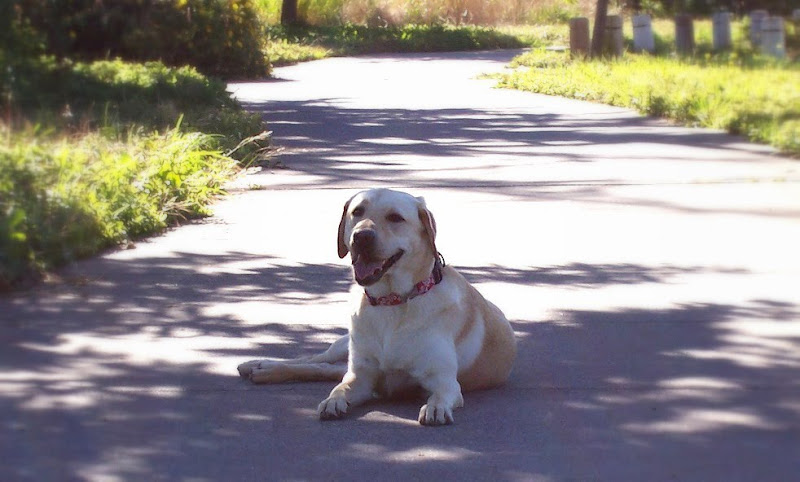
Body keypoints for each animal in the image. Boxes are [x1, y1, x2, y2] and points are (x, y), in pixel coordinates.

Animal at [238, 188, 516, 426]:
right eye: (357, 212)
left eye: (395, 218)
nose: (361, 236)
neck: (392, 301)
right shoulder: (360, 377)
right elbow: (340, 388)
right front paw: (333, 401)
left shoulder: (445, 382)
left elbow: (439, 396)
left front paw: (435, 408)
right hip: (345, 345)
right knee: (316, 361)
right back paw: (260, 365)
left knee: (325, 369)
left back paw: (263, 370)